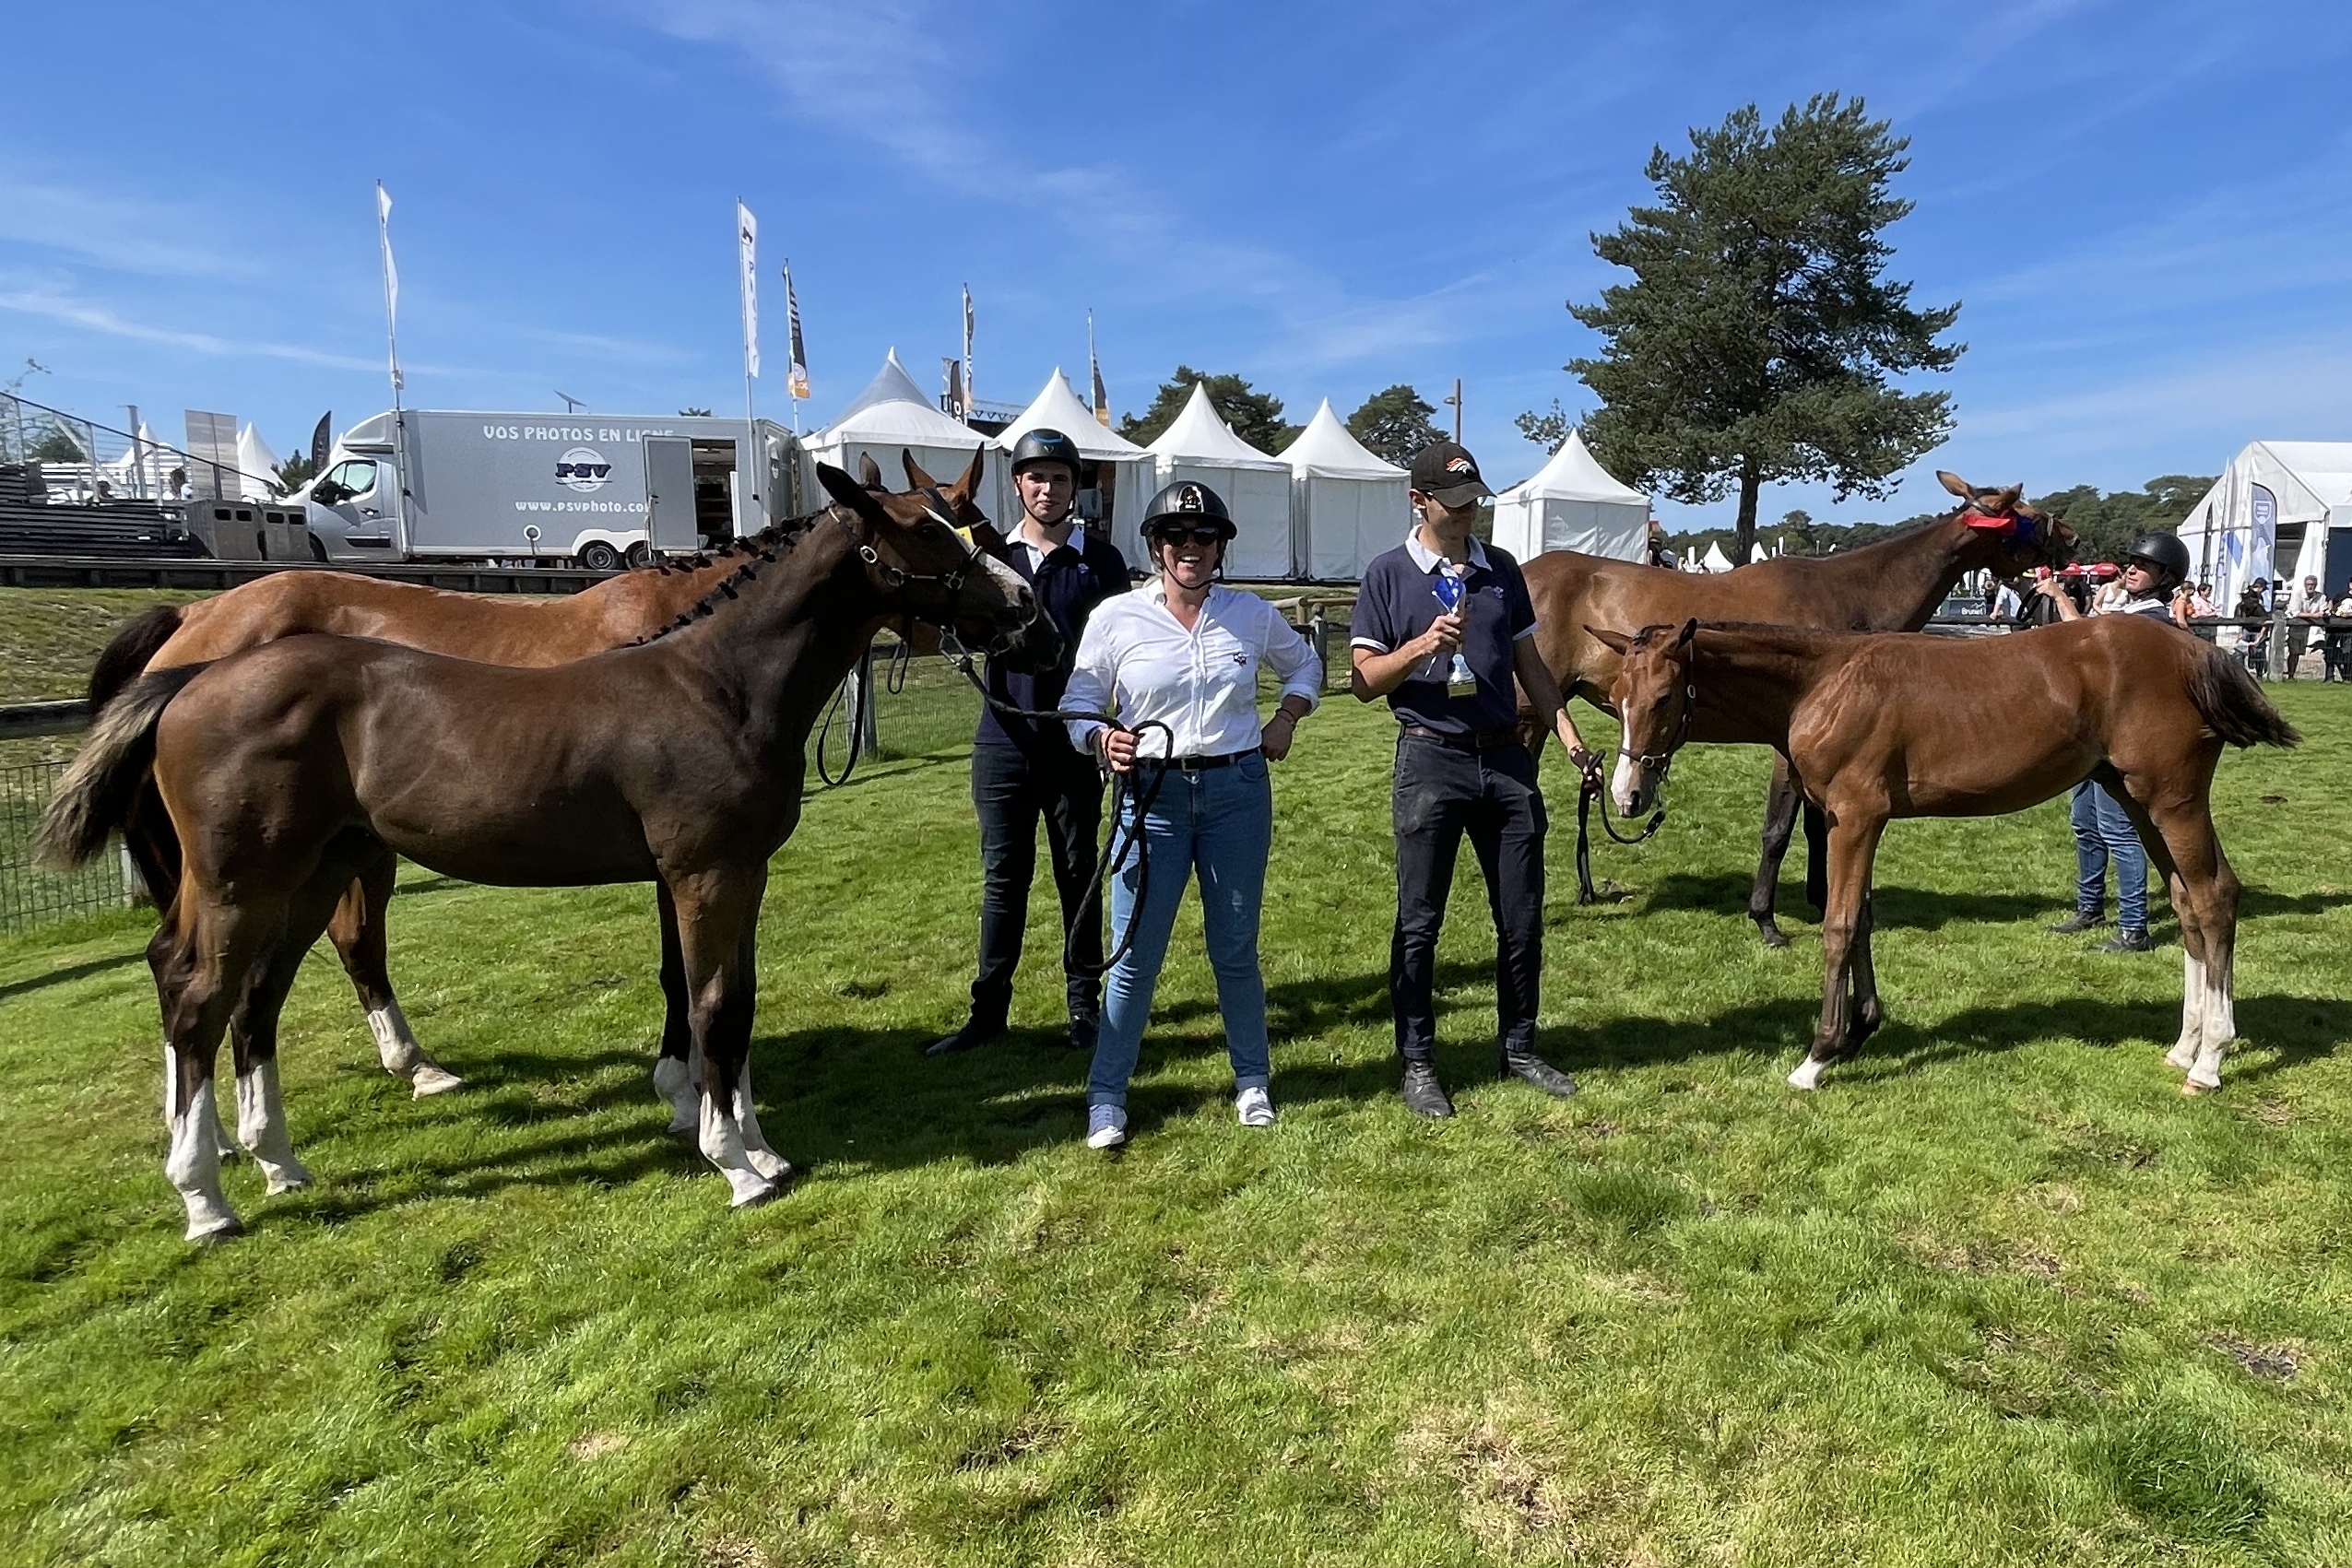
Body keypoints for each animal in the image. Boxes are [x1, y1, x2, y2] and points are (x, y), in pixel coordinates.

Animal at [34, 465, 1048, 1241]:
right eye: (931, 538)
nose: (1028, 609)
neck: (716, 683)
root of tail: (191, 669)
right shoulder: (703, 875)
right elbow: (710, 1004)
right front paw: (732, 1161)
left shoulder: (736, 875)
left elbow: (735, 1004)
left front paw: (756, 1143)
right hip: (243, 881)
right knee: (197, 995)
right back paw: (206, 1198)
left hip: (308, 874)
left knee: (253, 995)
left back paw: (279, 1161)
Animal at [1514, 472, 2069, 940]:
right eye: (2028, 511)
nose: (2072, 540)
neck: (1853, 593)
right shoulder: (1788, 745)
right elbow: (1780, 829)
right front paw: (1766, 918)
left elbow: (1817, 825)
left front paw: (1822, 897)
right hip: (1528, 714)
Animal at [1599, 611, 2295, 1091]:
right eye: (1614, 699)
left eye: (1664, 698)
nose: (1628, 795)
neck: (1823, 682)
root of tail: (2196, 649)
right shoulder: (1855, 822)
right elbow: (1863, 919)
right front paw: (1861, 1030)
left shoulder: (1855, 817)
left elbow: (1838, 925)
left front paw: (1818, 1055)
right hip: (2134, 797)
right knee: (2185, 902)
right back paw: (2184, 1046)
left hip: (2171, 799)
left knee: (2213, 897)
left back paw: (2209, 1060)